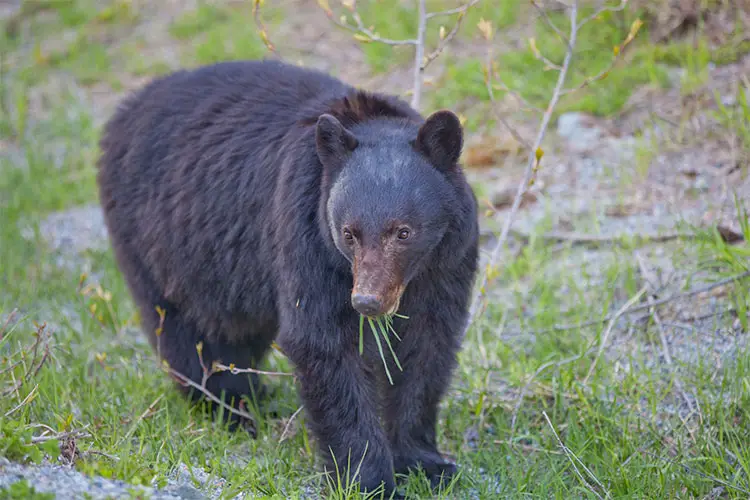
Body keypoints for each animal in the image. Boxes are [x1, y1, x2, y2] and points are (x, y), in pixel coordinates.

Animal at [95, 59, 482, 496]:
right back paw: (230, 409)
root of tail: (127, 107)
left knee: (235, 331)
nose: (367, 301)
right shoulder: (307, 236)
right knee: (186, 331)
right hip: (160, 246)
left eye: (403, 232)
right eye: (348, 232)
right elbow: (323, 343)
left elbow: (426, 346)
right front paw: (369, 481)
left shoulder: (446, 261)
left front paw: (426, 463)